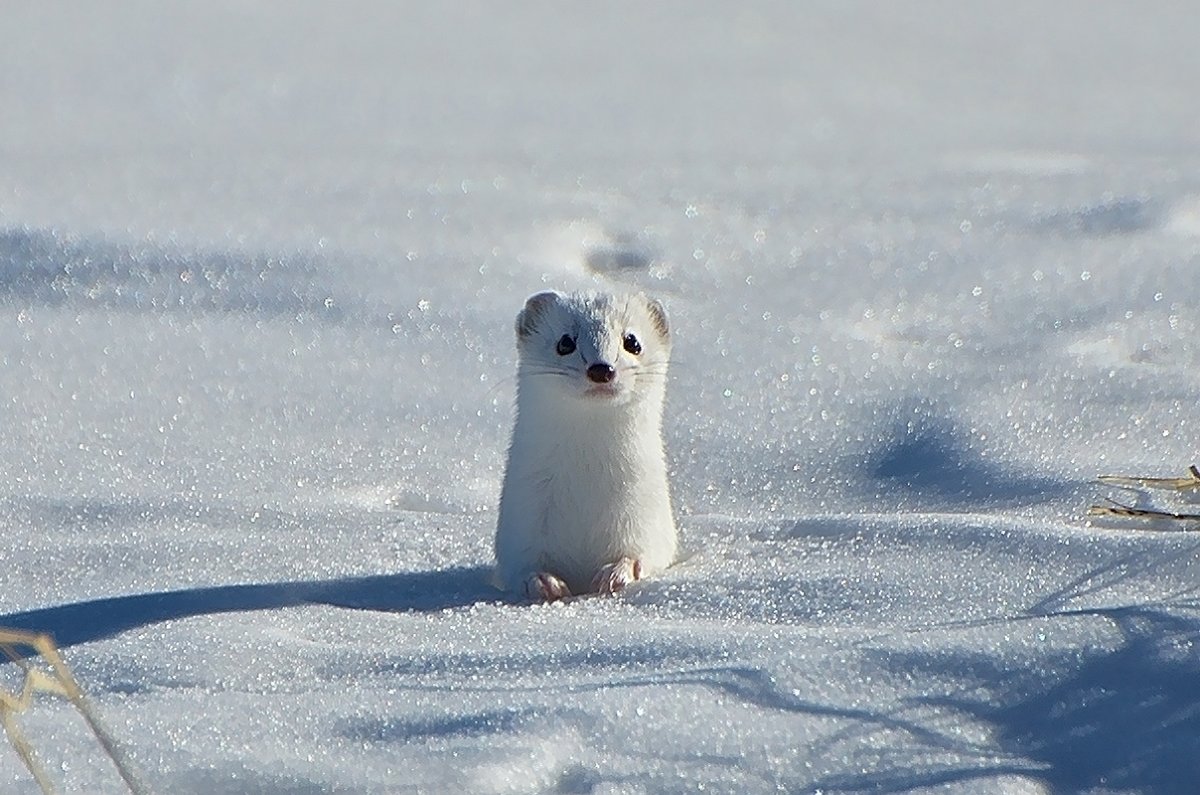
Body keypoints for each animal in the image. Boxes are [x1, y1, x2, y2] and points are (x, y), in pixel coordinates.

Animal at [489, 289, 676, 600]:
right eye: (565, 342)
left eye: (632, 341)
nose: (601, 368)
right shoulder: (521, 524)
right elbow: (522, 564)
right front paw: (543, 581)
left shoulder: (646, 518)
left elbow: (643, 553)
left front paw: (617, 573)